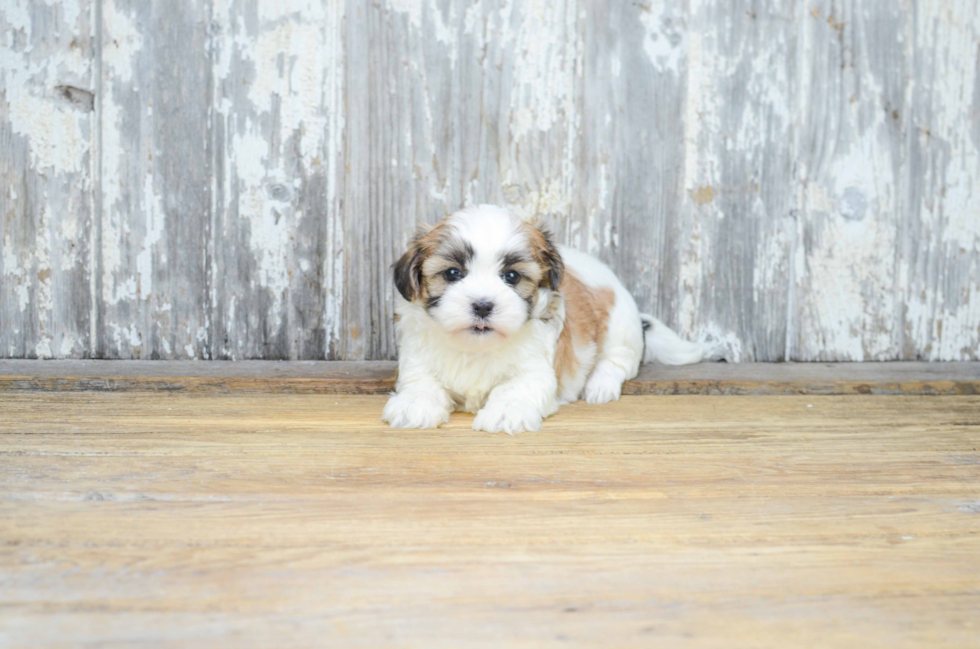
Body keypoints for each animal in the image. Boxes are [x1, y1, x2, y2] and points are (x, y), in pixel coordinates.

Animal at [382, 205, 704, 432]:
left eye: (512, 276)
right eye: (452, 273)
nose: (483, 305)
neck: (476, 347)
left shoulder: (535, 371)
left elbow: (515, 388)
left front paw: (504, 413)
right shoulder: (417, 362)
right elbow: (421, 382)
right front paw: (413, 406)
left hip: (621, 326)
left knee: (618, 361)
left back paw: (601, 385)